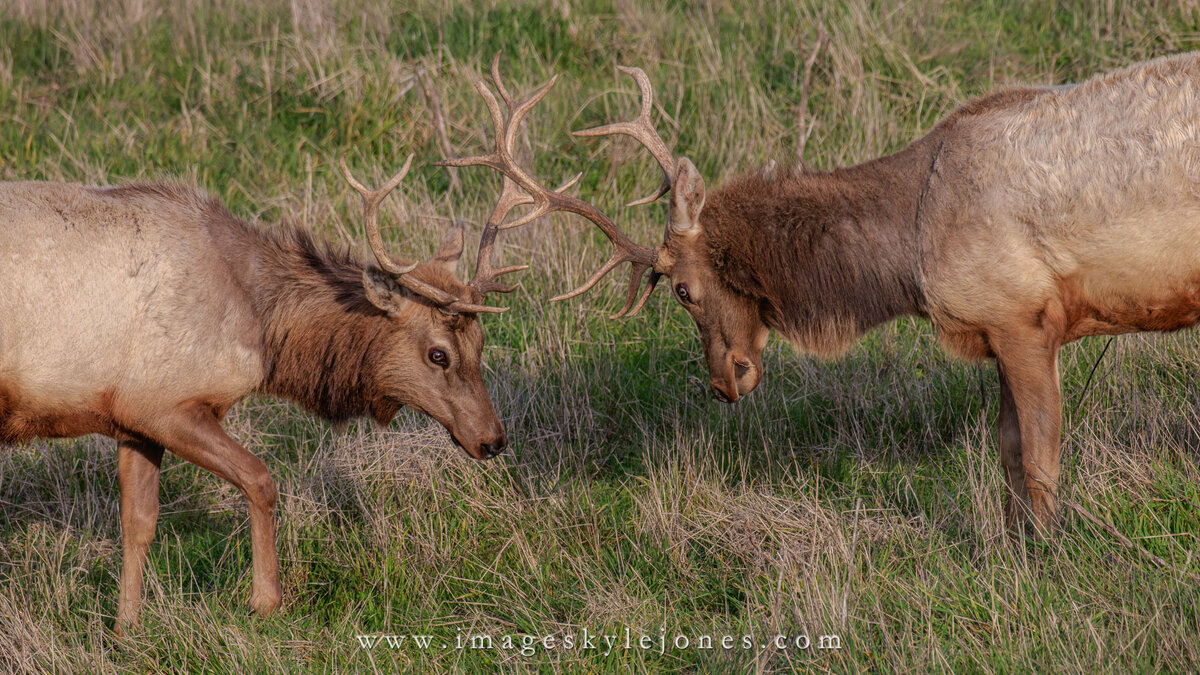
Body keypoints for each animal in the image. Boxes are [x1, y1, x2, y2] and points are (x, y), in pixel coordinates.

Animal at [0, 69, 555, 632]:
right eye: (437, 354)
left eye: (480, 343)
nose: (493, 440)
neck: (261, 328)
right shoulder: (161, 402)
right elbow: (261, 479)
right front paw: (265, 600)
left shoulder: (130, 416)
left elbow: (139, 523)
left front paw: (126, 628)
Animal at [450, 52, 1200, 537]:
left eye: (685, 290)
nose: (726, 379)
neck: (907, 247)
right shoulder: (1003, 332)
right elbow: (1011, 454)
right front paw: (1014, 544)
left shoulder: (1023, 316)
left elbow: (1038, 459)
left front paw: (1044, 551)